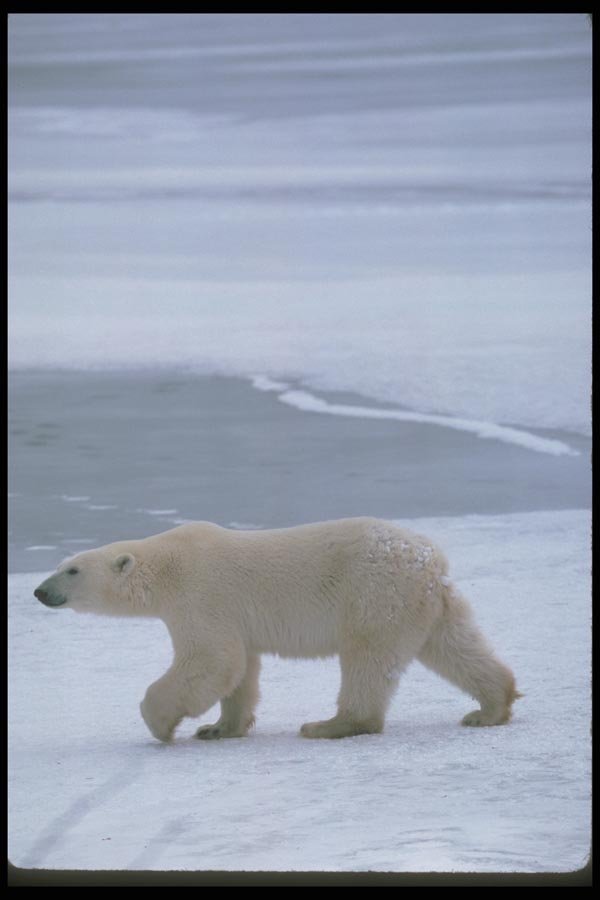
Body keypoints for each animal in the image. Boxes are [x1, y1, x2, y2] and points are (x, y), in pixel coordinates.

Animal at [34, 518, 520, 741]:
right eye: (60, 564)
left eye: (72, 570)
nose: (39, 591)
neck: (169, 565)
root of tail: (430, 558)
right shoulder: (230, 617)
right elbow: (239, 670)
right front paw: (219, 729)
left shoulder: (202, 596)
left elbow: (211, 660)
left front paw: (161, 724)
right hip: (423, 602)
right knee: (454, 645)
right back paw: (489, 708)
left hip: (374, 595)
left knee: (366, 658)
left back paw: (330, 724)